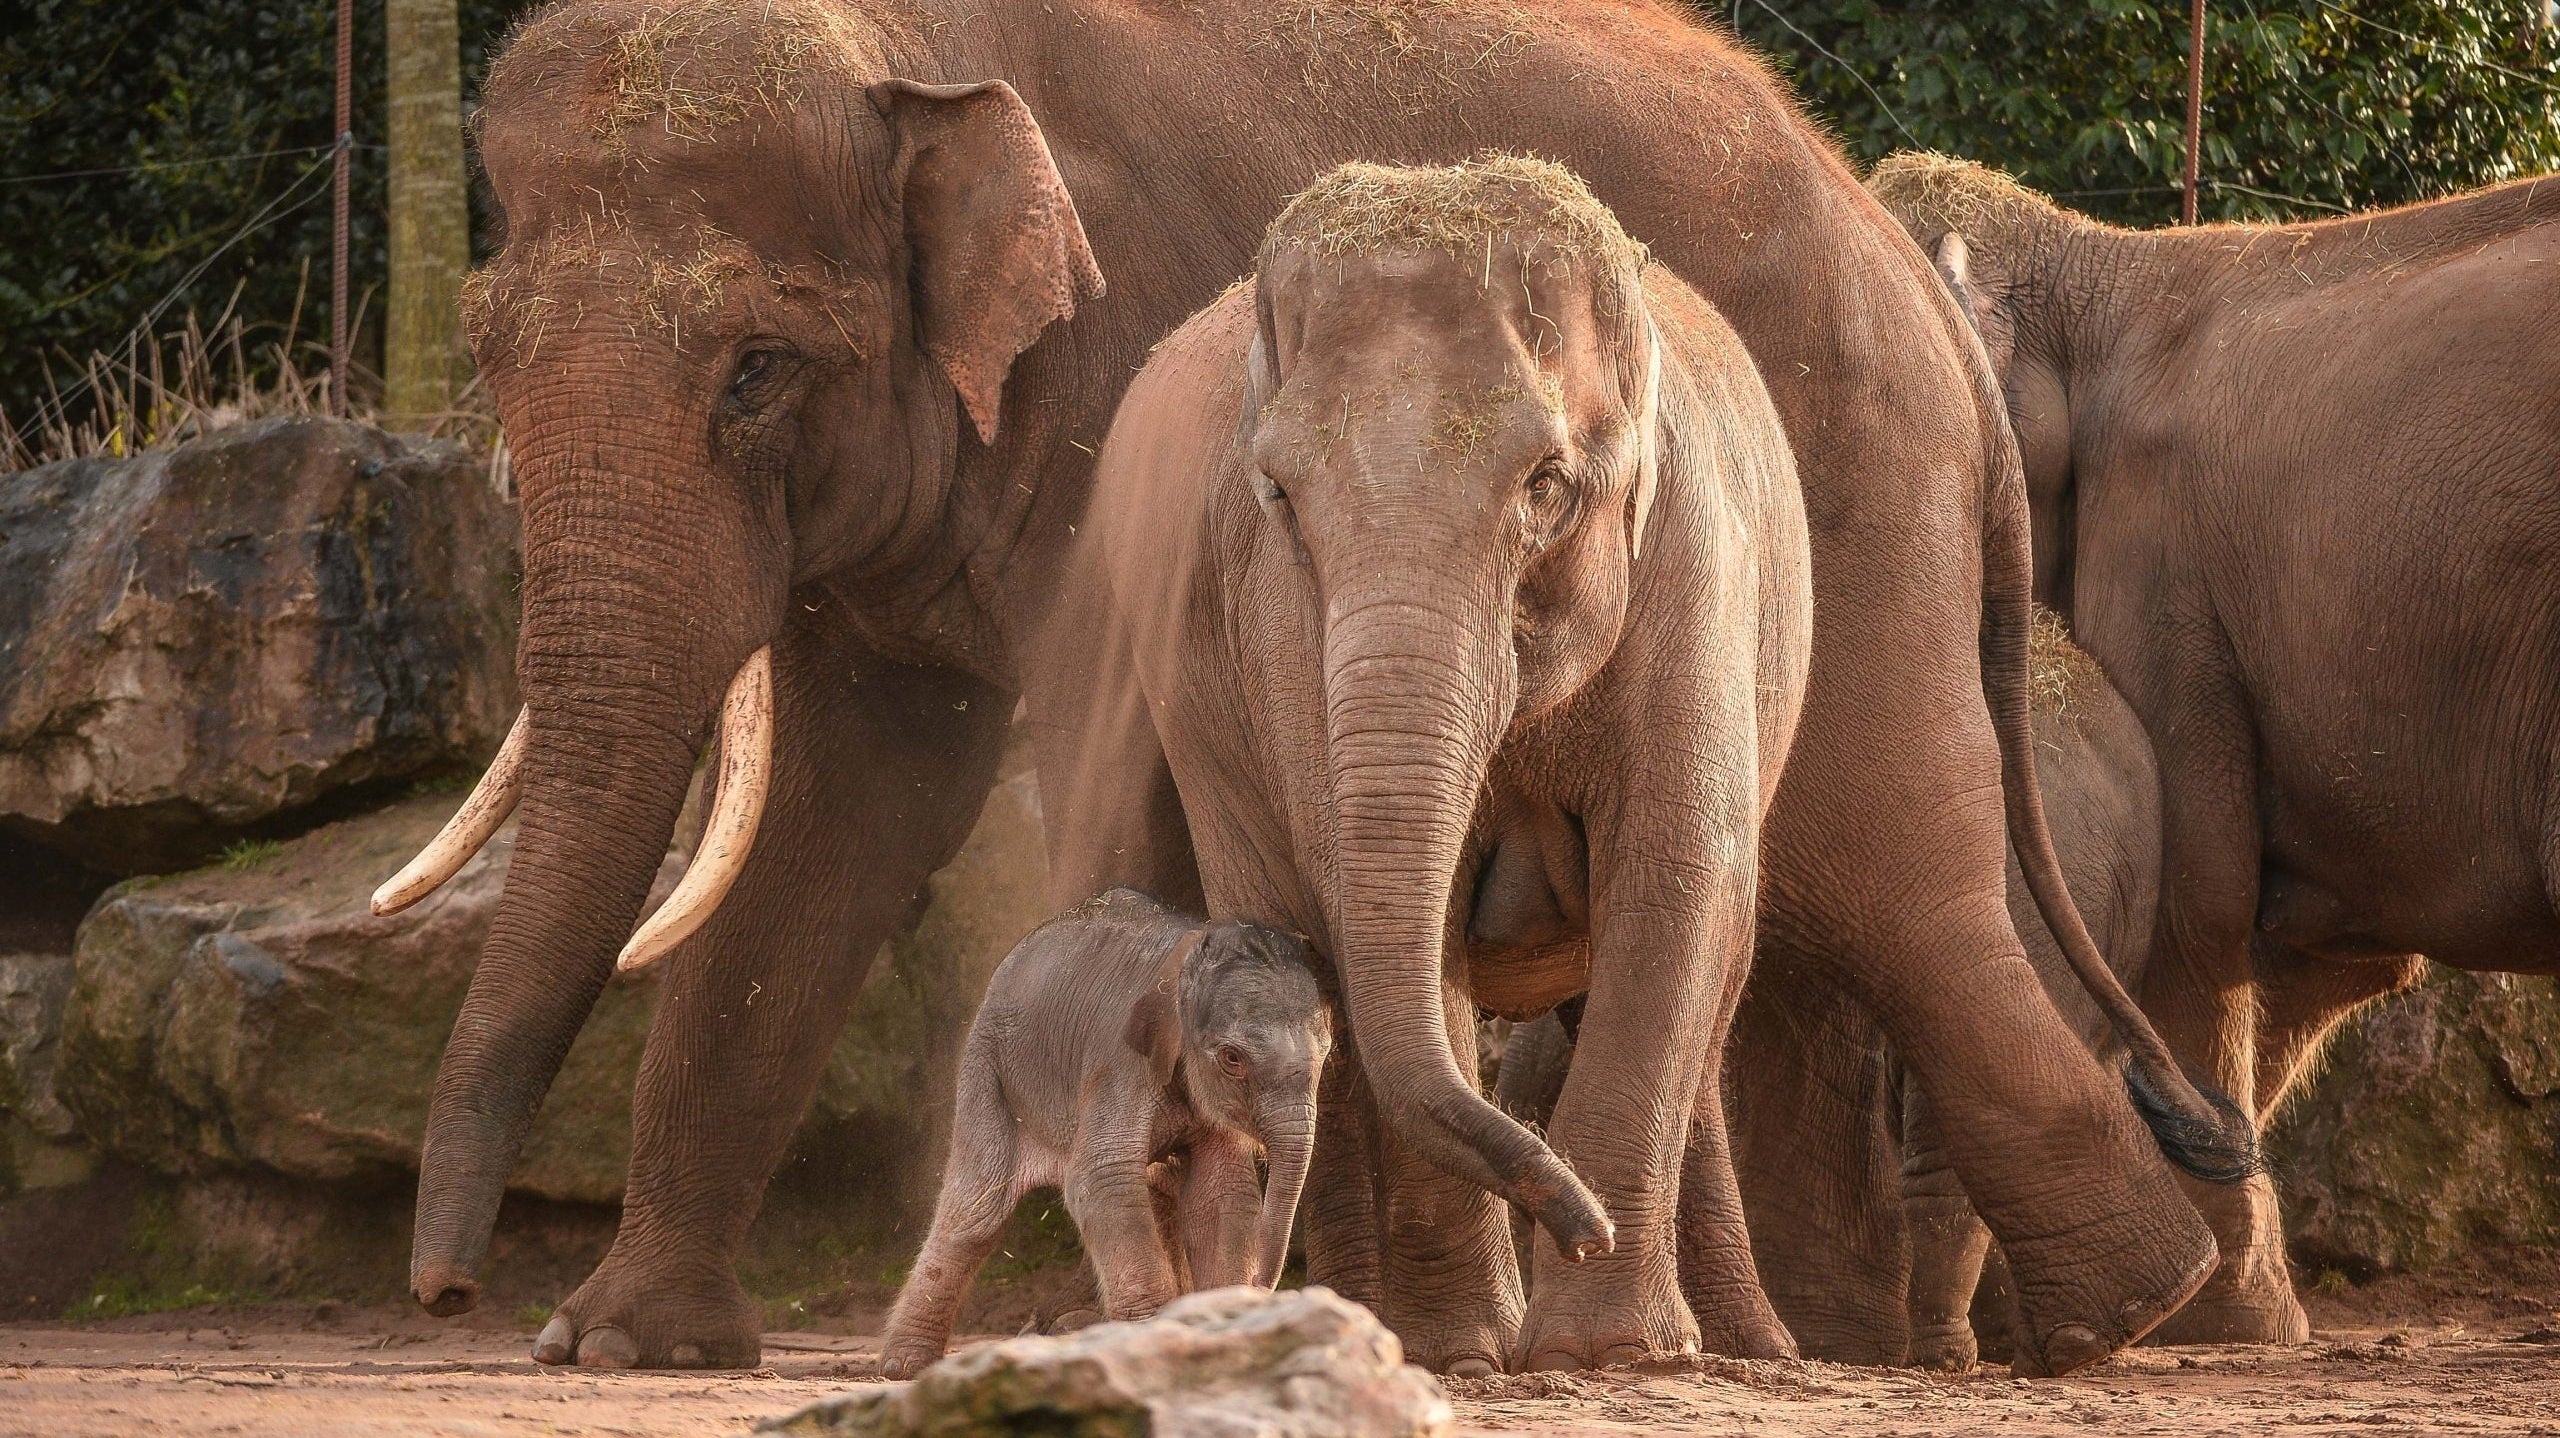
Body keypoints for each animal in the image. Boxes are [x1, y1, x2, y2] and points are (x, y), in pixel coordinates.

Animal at [880, 889, 1331, 1379]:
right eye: (1232, 1058)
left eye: (1328, 1053)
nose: (1262, 1292)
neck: (1184, 963)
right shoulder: (1118, 1061)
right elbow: (1103, 1179)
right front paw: (1147, 1340)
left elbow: (1220, 1194)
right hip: (987, 1070)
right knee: (974, 1213)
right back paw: (904, 1366)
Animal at [1086, 156, 1814, 1369]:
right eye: (1278, 495)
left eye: (1546, 486)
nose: (1577, 1224)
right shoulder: (1284, 623)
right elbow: (1378, 910)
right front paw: (1464, 1351)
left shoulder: (1695, 567)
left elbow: (1675, 884)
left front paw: (1603, 1354)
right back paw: (1371, 1320)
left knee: (1713, 972)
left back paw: (1753, 1348)